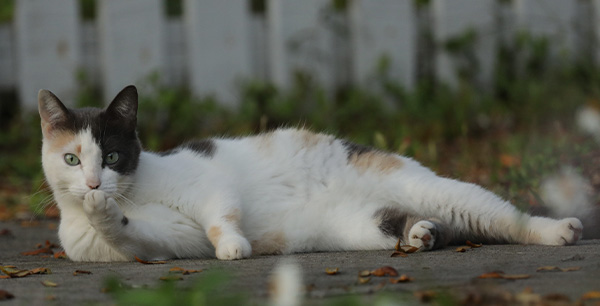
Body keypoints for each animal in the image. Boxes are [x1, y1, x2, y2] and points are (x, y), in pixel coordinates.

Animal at [37, 85, 580, 262]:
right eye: (72, 159)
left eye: (111, 157)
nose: (92, 183)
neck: (136, 191)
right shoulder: (161, 240)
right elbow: (132, 234)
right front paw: (103, 213)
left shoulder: (206, 184)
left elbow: (220, 214)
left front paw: (234, 245)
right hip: (364, 227)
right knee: (404, 223)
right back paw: (421, 233)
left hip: (432, 187)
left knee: (502, 216)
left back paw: (556, 230)